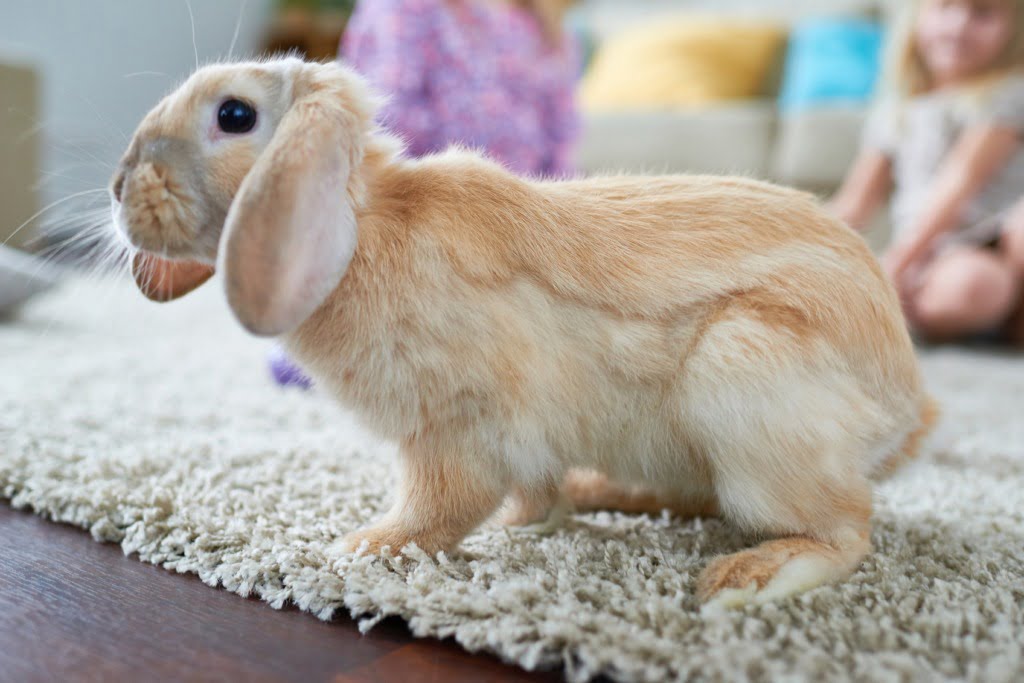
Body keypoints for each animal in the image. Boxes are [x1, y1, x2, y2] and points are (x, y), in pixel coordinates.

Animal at [112, 58, 937, 610]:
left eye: (235, 116)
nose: (120, 184)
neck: (365, 227)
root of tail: (906, 407)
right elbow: (529, 493)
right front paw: (531, 520)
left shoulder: (455, 428)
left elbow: (443, 503)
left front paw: (363, 547)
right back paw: (609, 494)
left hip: (745, 381)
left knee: (846, 532)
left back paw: (747, 577)